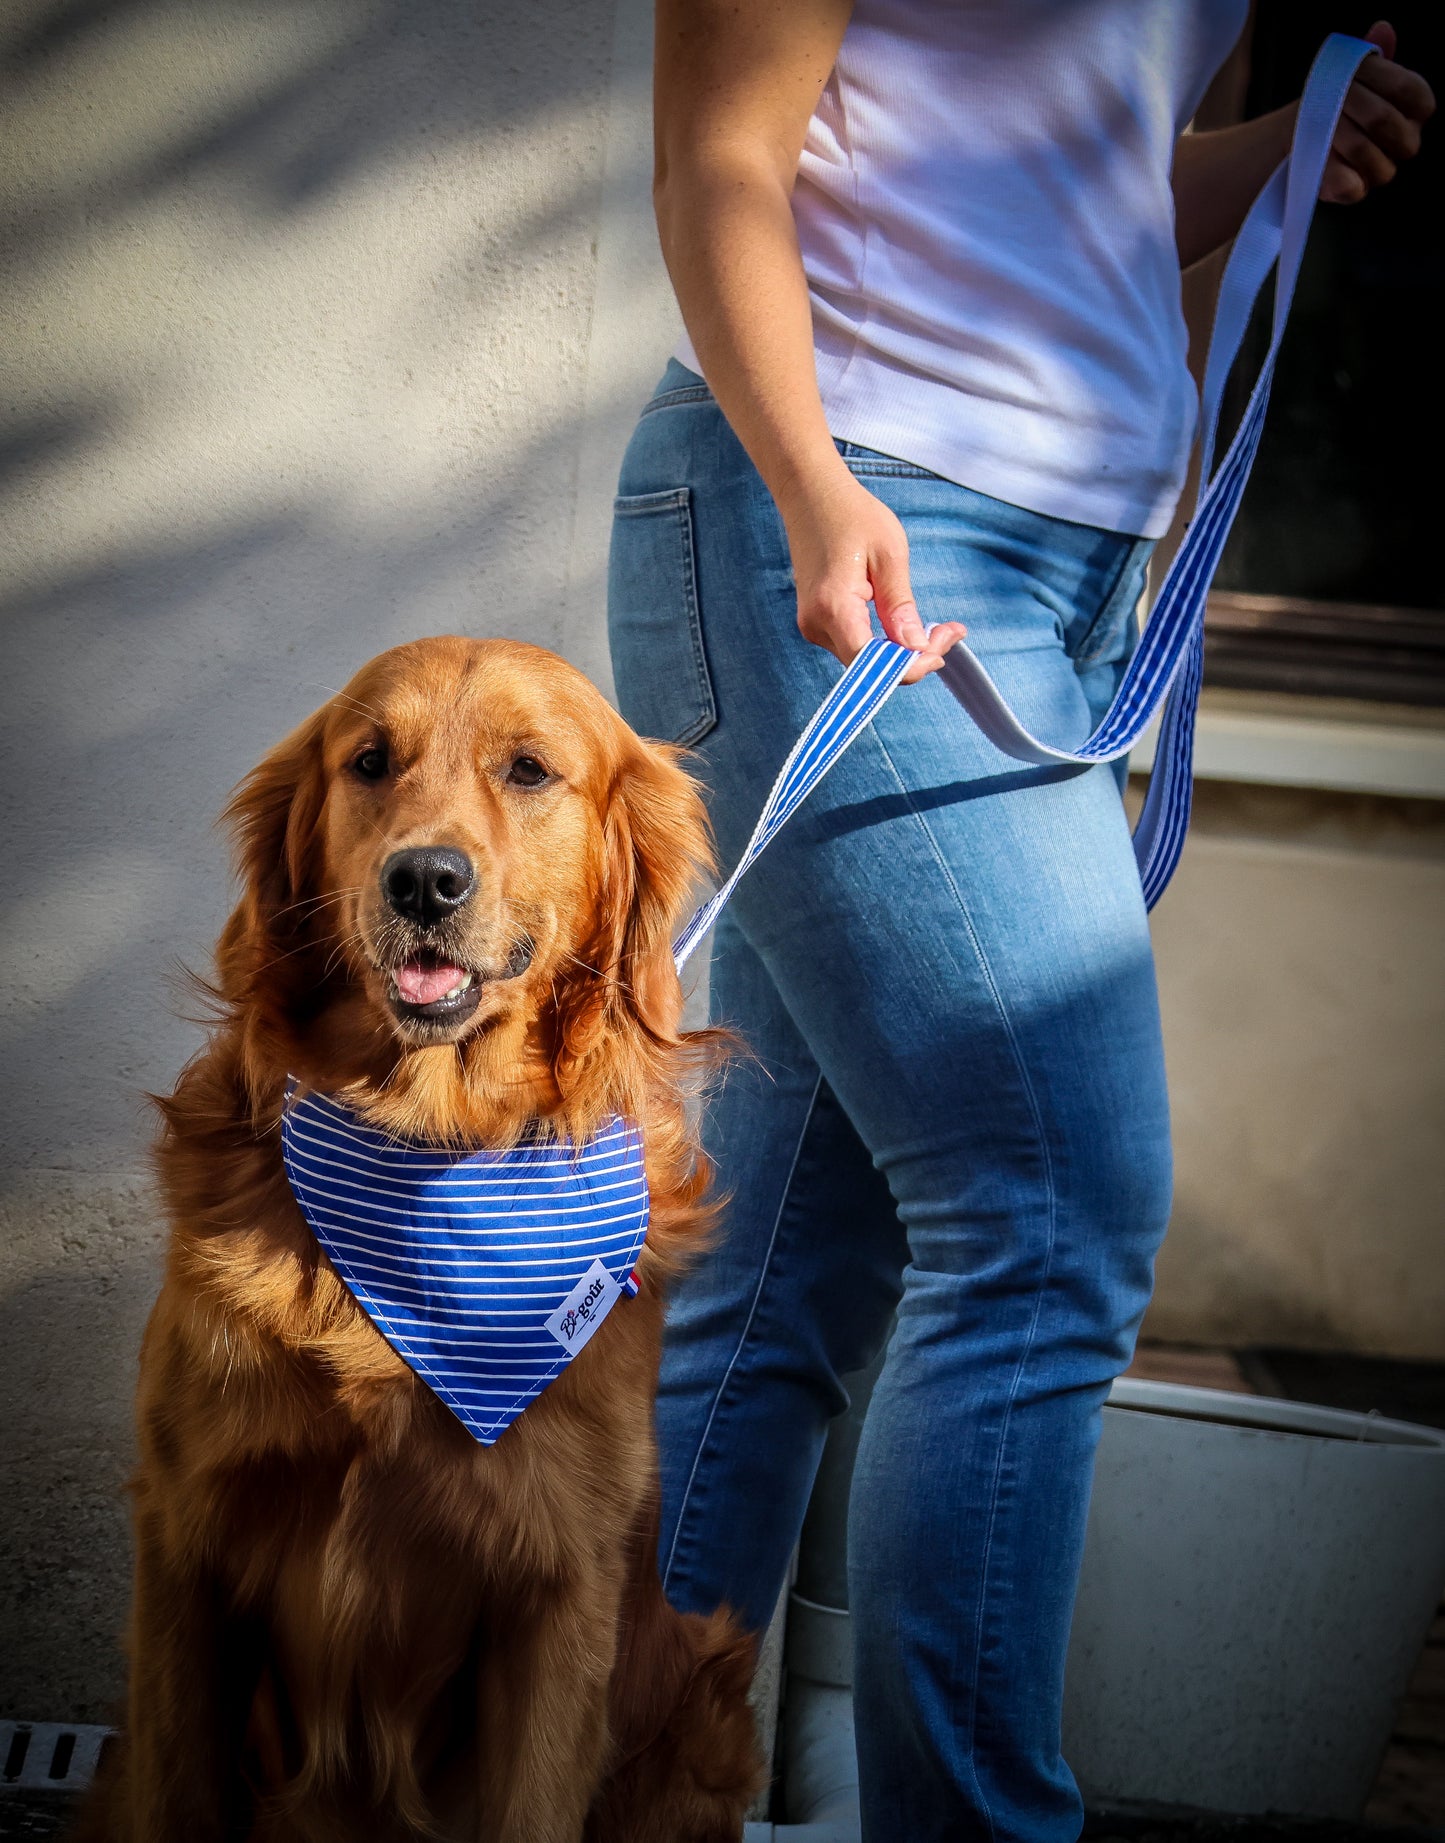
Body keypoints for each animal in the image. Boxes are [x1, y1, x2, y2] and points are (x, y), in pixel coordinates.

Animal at [79, 633, 763, 1843]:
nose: (424, 880)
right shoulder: (186, 1538)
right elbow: (177, 1789)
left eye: (529, 769)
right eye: (368, 761)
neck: (430, 1144)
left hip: (702, 1711)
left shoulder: (559, 1594)